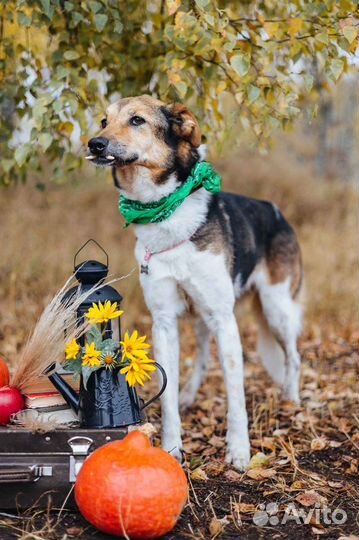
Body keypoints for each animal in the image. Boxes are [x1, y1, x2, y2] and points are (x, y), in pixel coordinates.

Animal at [87, 95, 304, 470]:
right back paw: (190, 395)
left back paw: (291, 400)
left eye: (137, 120)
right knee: (202, 358)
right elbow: (168, 395)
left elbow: (236, 398)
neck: (165, 212)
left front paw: (239, 452)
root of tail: (278, 213)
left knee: (293, 356)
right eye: (104, 120)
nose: (94, 143)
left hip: (277, 309)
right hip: (203, 318)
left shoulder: (224, 320)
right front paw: (172, 447)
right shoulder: (164, 323)